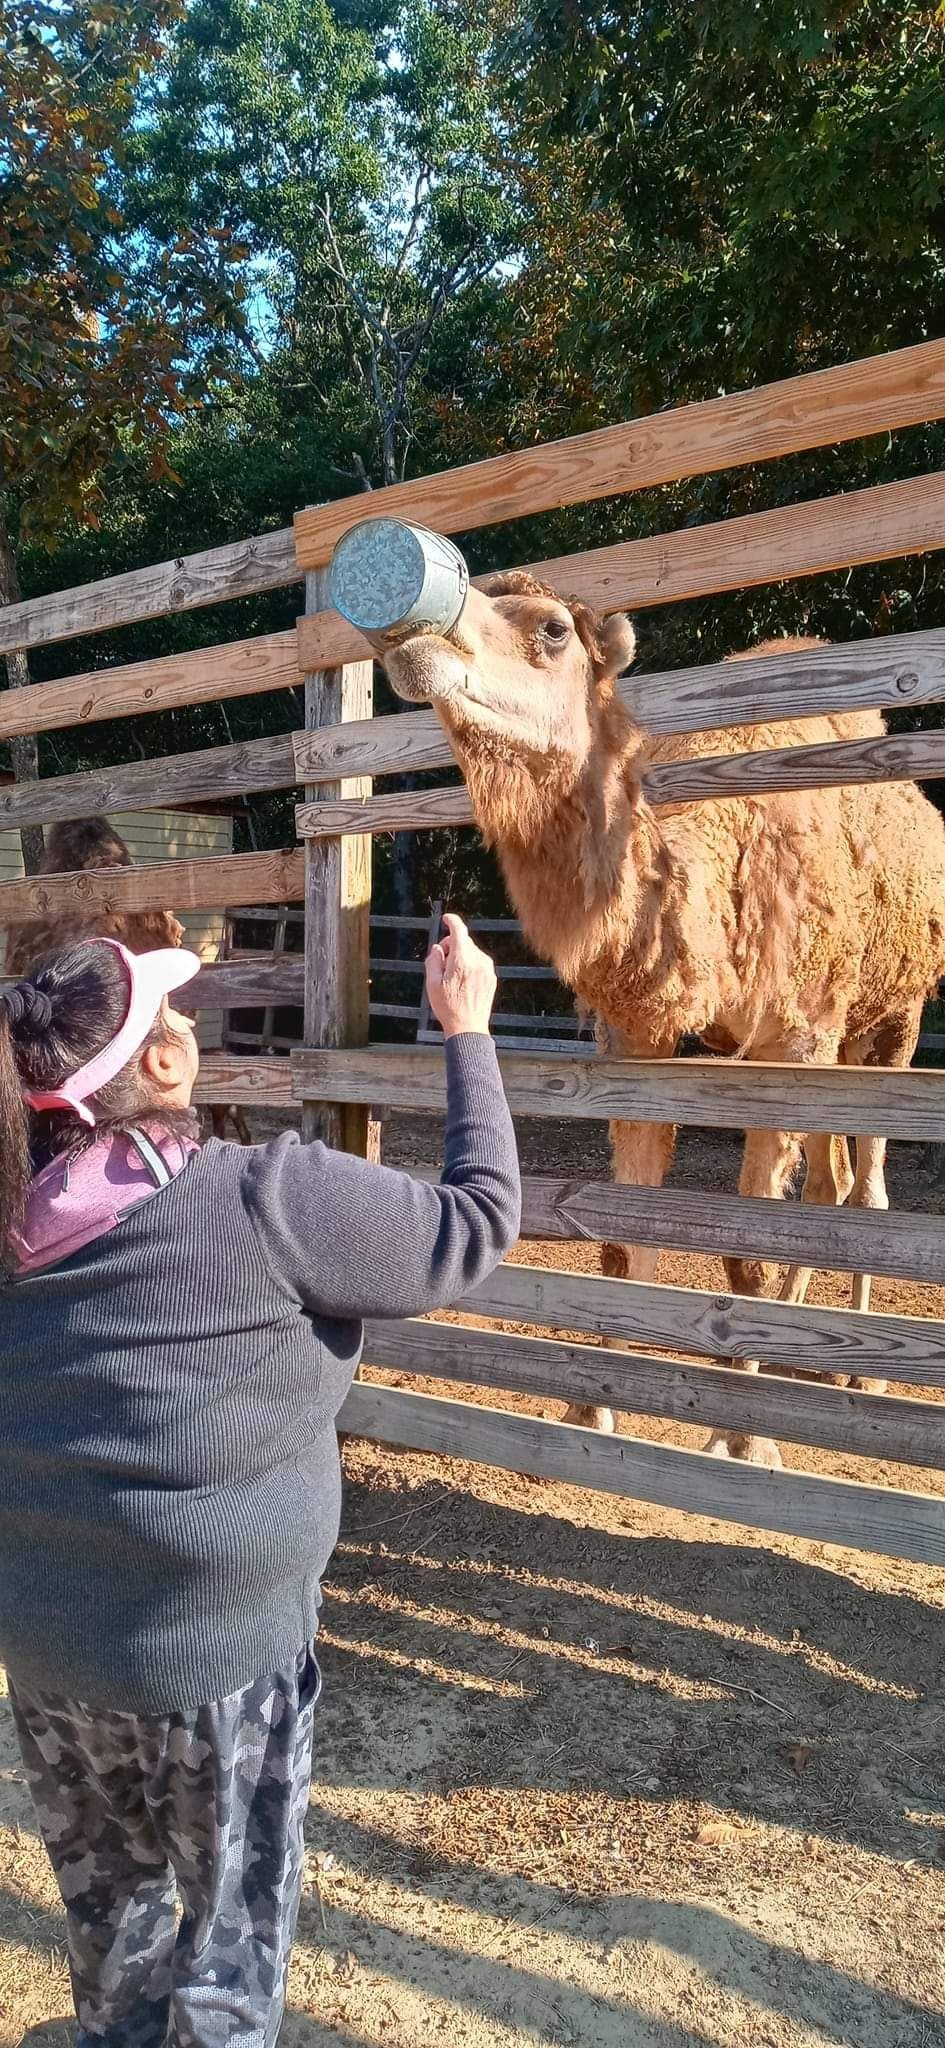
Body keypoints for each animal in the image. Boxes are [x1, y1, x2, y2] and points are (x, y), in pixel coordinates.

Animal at [383, 571, 945, 1466]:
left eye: (551, 629)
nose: (411, 640)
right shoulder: (638, 1039)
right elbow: (621, 1239)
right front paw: (589, 1411)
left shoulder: (789, 1038)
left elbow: (746, 1256)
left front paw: (741, 1439)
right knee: (829, 1184)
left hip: (890, 1019)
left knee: (865, 1193)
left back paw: (857, 1373)